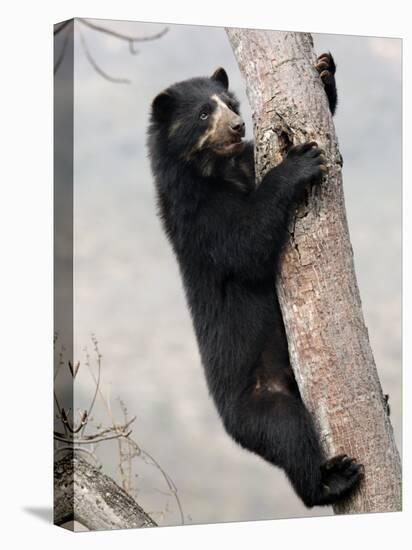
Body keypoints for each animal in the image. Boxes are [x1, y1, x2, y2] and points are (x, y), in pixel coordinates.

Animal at [147, 52, 364, 508]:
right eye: (203, 112)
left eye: (230, 102)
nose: (237, 125)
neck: (218, 170)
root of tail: (230, 426)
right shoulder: (199, 218)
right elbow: (246, 245)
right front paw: (300, 163)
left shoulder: (245, 162)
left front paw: (324, 72)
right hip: (262, 403)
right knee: (290, 436)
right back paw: (332, 480)